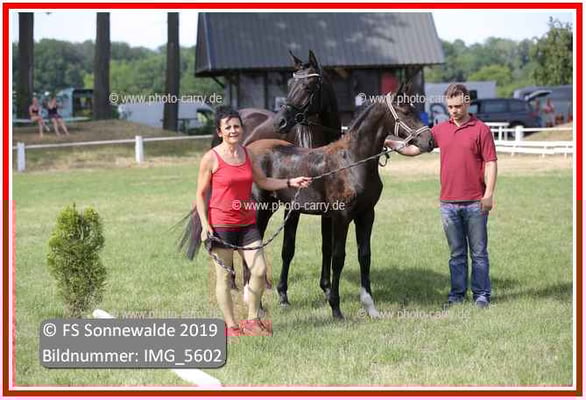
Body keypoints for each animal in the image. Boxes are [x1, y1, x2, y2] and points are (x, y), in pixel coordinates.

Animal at [246, 89, 434, 319]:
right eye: (406, 112)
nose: (430, 141)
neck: (352, 161)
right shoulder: (341, 217)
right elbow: (338, 258)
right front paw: (335, 307)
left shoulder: (367, 215)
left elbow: (364, 256)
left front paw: (370, 307)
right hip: (260, 209)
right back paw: (257, 305)